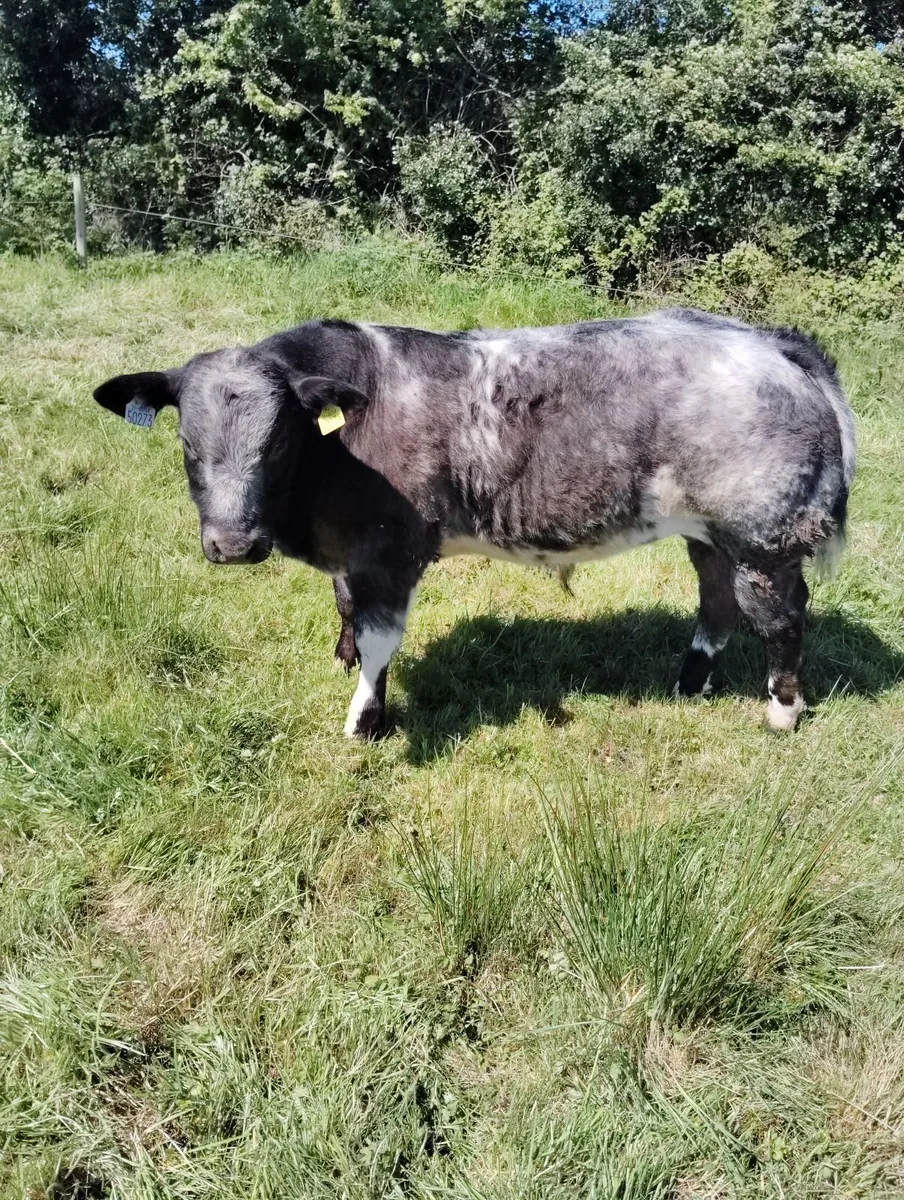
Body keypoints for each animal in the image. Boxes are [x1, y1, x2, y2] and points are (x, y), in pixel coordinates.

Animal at [93, 308, 855, 739]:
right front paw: (343, 661)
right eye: (186, 442)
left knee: (782, 619)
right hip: (710, 534)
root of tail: (770, 341)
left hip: (767, 538)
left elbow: (379, 642)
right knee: (716, 601)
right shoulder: (352, 555)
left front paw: (363, 723)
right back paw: (689, 681)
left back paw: (781, 712)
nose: (232, 544)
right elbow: (347, 617)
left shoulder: (388, 553)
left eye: (278, 438)